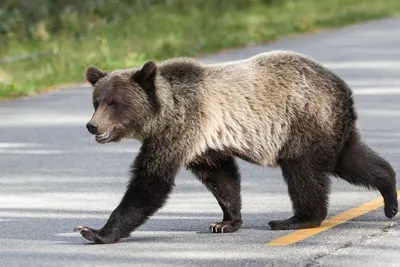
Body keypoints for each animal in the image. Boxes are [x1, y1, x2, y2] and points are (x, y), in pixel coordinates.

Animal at [74, 50, 396, 245]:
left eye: (114, 103)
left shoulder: (182, 127)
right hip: (330, 128)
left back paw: (296, 219)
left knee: (304, 172)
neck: (163, 113)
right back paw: (390, 197)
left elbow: (150, 182)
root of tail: (343, 87)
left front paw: (94, 231)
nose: (92, 126)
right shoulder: (201, 143)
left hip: (304, 121)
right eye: (96, 101)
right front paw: (225, 222)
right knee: (353, 159)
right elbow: (222, 178)